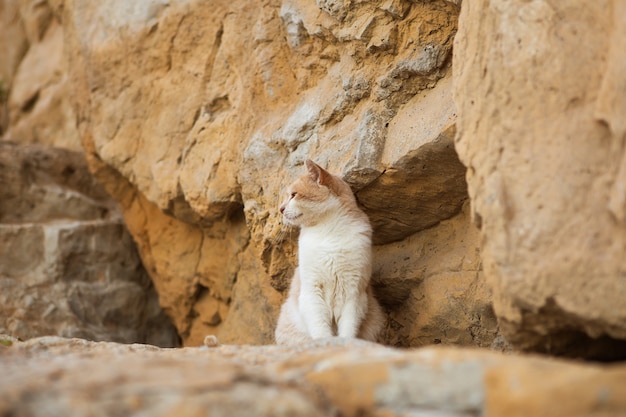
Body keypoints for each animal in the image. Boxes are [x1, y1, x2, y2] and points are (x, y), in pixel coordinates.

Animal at [274, 158, 382, 342]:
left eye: (294, 195)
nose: (280, 209)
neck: (328, 233)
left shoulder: (353, 295)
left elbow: (347, 329)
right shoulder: (312, 290)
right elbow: (320, 328)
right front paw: (324, 343)